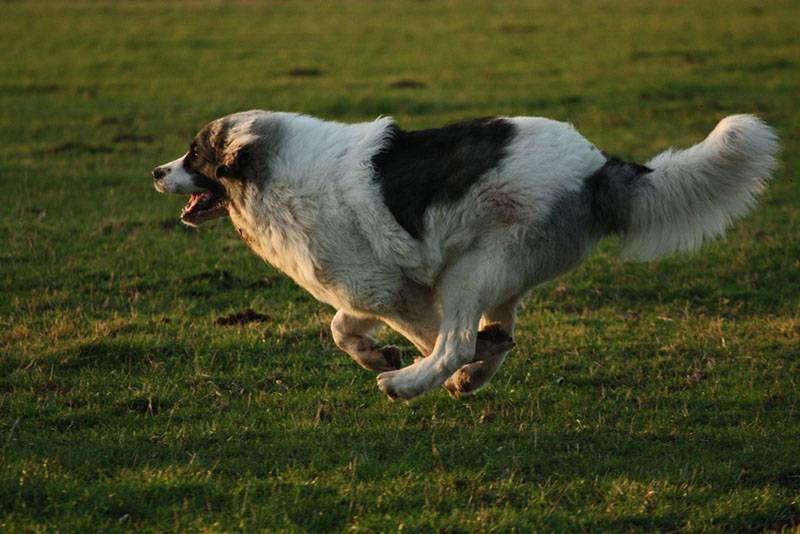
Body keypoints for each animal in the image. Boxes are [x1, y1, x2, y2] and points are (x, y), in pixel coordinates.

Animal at [153, 111, 780, 400]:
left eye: (193, 154)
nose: (157, 171)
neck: (270, 173)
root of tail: (598, 164)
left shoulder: (394, 290)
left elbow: (424, 336)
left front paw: (404, 366)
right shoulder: (371, 285)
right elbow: (341, 328)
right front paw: (375, 354)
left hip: (468, 271)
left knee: (458, 339)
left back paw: (411, 384)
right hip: (497, 273)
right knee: (501, 331)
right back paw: (472, 369)